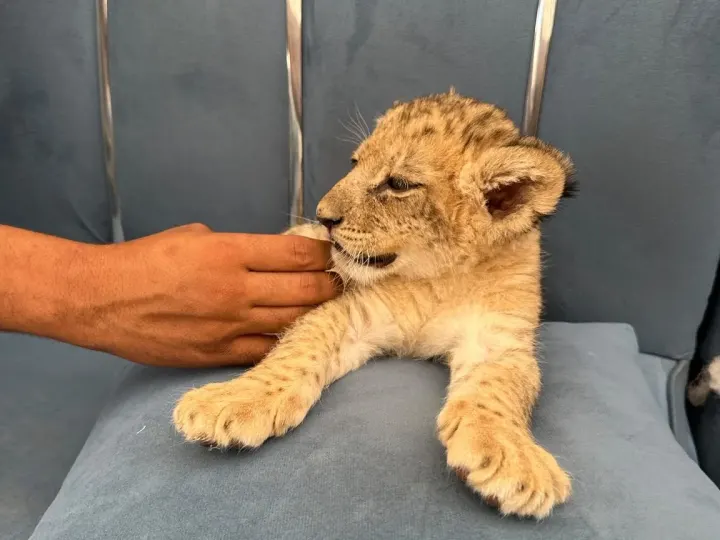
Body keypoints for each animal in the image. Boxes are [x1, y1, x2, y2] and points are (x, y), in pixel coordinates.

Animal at [173, 90, 576, 519]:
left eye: (397, 184)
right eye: (355, 163)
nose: (323, 216)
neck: (440, 278)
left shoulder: (500, 340)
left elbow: (500, 388)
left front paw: (510, 455)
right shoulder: (356, 313)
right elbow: (298, 350)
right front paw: (231, 401)